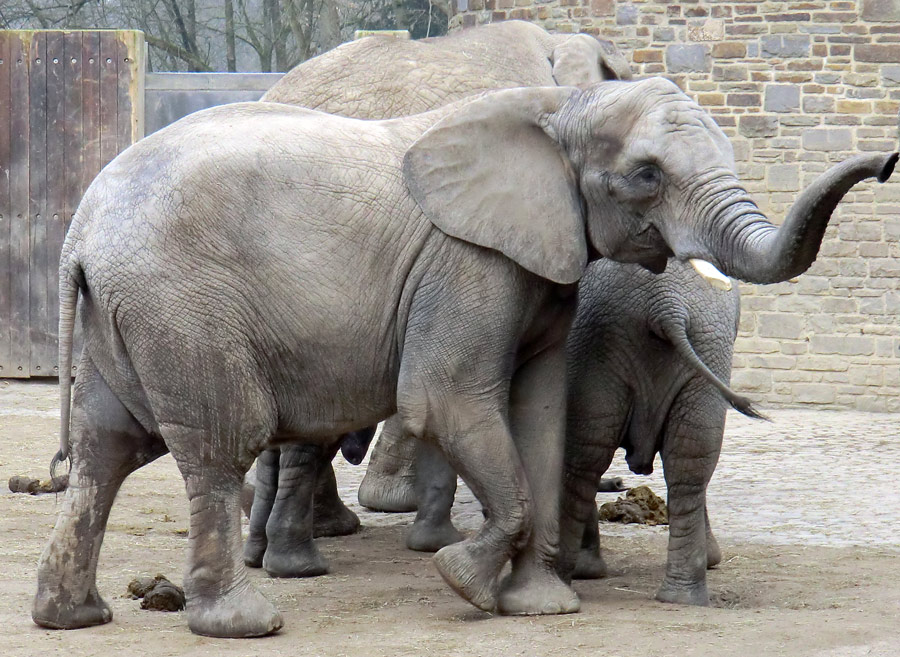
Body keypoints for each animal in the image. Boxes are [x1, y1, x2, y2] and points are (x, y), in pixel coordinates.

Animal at [31, 75, 896, 636]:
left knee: (106, 450)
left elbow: (540, 414)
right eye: (645, 176)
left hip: (125, 314)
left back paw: (72, 616)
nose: (887, 161)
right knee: (216, 442)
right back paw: (245, 621)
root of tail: (81, 232)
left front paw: (542, 606)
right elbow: (447, 398)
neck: (557, 108)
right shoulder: (465, 259)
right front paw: (466, 582)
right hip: (181, 306)